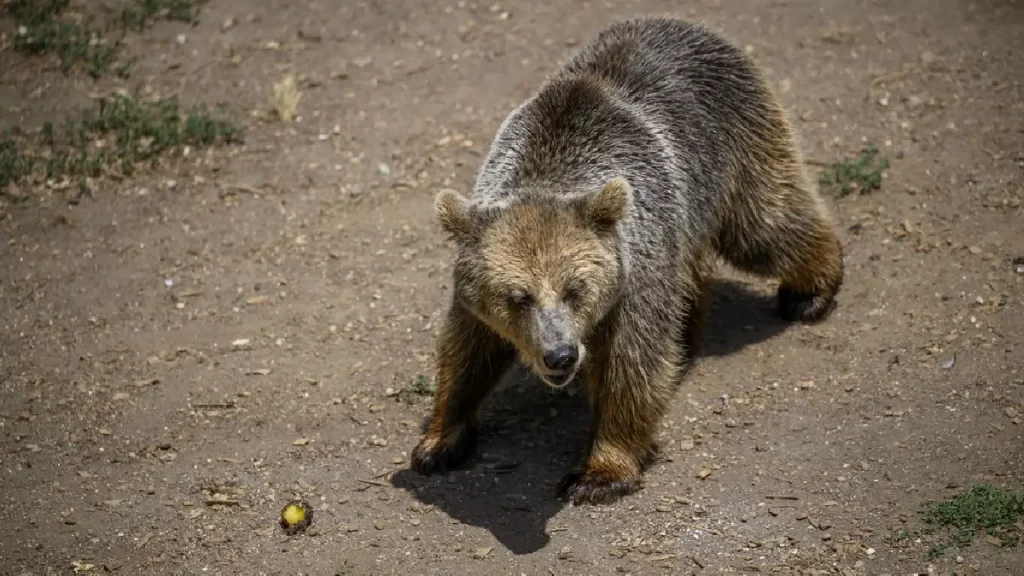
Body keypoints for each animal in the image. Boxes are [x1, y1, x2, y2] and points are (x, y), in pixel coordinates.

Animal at [410, 16, 844, 505]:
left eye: (575, 289)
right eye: (517, 297)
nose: (560, 356)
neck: (550, 166)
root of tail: (689, 24)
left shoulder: (634, 272)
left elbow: (631, 365)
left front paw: (598, 472)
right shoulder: (478, 291)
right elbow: (467, 350)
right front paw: (439, 441)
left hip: (731, 147)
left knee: (766, 224)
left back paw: (809, 291)